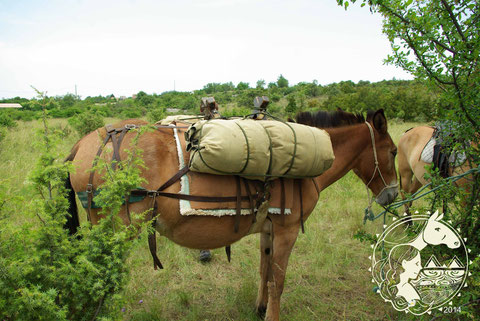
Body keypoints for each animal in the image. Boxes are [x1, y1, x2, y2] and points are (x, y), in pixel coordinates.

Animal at [65, 109, 400, 318]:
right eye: (394, 151)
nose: (394, 194)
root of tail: (83, 143)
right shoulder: (288, 230)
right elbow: (278, 281)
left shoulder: (269, 228)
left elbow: (265, 272)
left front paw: (260, 309)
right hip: (116, 233)